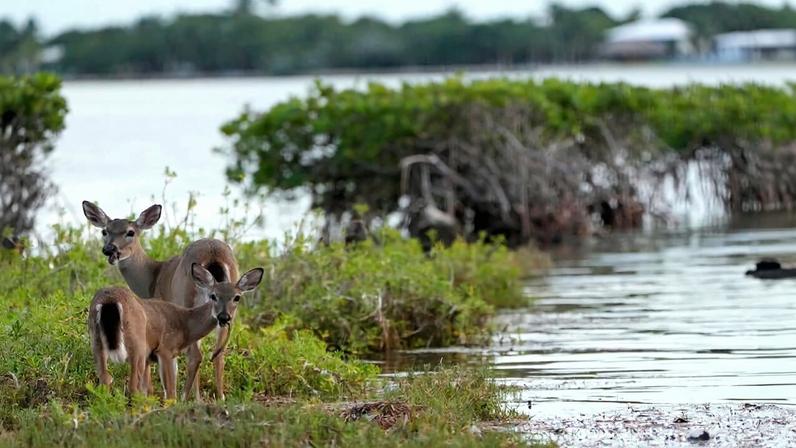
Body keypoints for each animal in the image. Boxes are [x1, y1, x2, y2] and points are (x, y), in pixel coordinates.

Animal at [82, 200, 239, 400]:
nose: (110, 249)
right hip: (228, 308)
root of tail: (214, 253)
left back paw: (190, 398)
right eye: (105, 231)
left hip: (187, 298)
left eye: (130, 232)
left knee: (195, 355)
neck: (153, 277)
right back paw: (219, 397)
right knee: (219, 352)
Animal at [88, 264, 264, 399]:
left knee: (106, 379)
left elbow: (151, 390)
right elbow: (170, 392)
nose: (224, 317)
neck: (185, 324)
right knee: (132, 386)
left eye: (237, 297)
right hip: (137, 344)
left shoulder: (158, 357)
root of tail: (110, 301)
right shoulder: (165, 350)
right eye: (213, 295)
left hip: (96, 340)